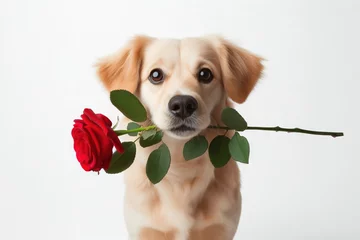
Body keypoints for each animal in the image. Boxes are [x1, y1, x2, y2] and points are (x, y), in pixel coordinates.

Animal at [95, 34, 264, 239]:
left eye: (205, 74)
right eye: (156, 75)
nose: (183, 104)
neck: (179, 160)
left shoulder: (222, 229)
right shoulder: (144, 229)